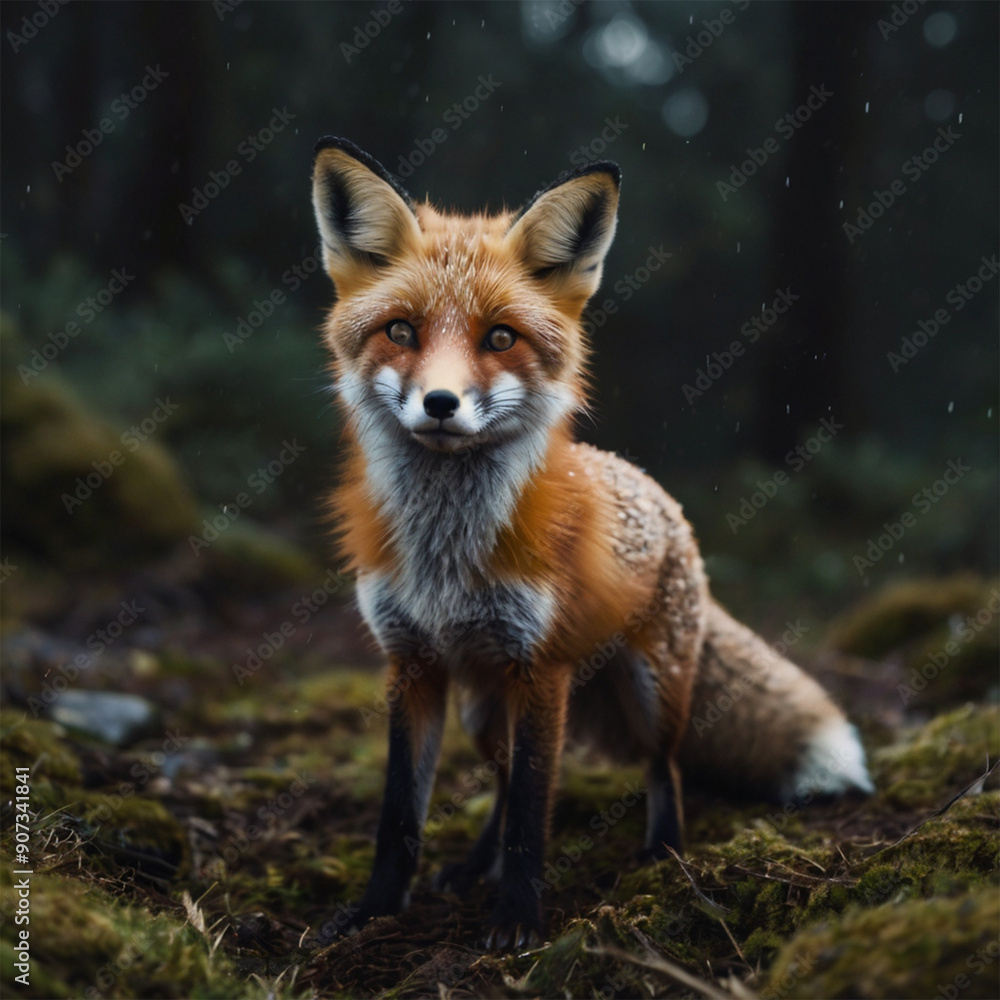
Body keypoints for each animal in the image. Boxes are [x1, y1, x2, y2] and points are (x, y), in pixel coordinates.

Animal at [310, 137, 873, 950]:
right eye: (402, 331)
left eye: (500, 337)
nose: (441, 403)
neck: (447, 555)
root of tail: (661, 496)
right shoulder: (410, 664)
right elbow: (401, 815)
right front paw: (374, 911)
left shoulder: (540, 671)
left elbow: (530, 818)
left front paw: (517, 921)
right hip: (484, 710)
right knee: (502, 782)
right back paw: (471, 869)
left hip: (651, 689)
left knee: (663, 770)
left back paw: (663, 856)